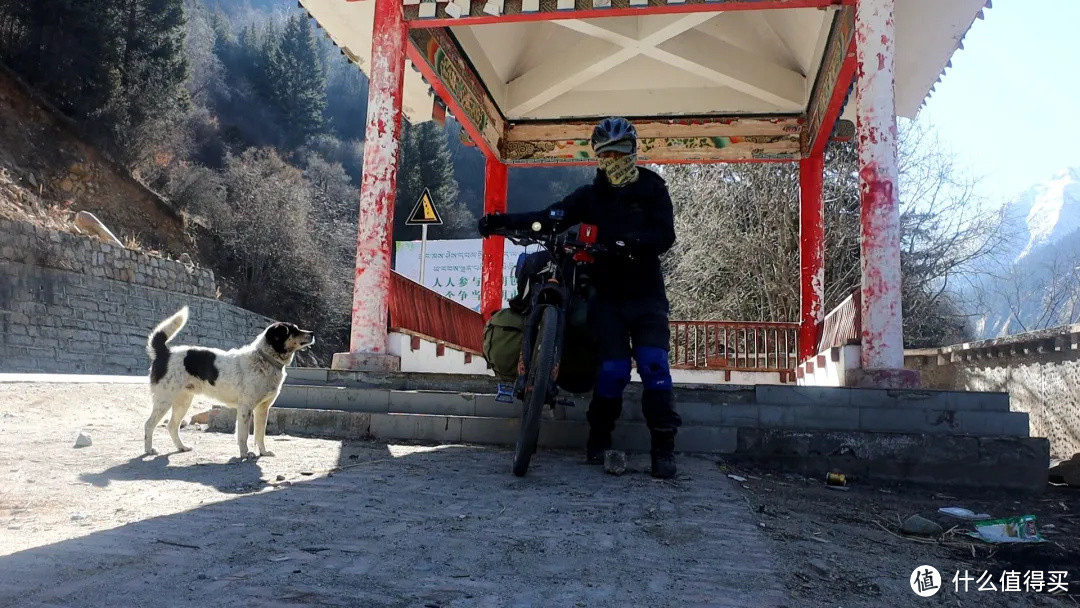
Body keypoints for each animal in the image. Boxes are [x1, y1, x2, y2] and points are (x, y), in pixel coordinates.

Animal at [143, 306, 315, 460]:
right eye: (293, 330)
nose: (312, 333)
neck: (265, 359)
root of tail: (165, 352)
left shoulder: (262, 409)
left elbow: (260, 435)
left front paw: (263, 452)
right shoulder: (246, 408)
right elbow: (244, 435)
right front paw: (245, 454)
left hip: (183, 402)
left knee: (172, 426)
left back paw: (182, 447)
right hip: (164, 400)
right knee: (149, 424)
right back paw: (149, 450)